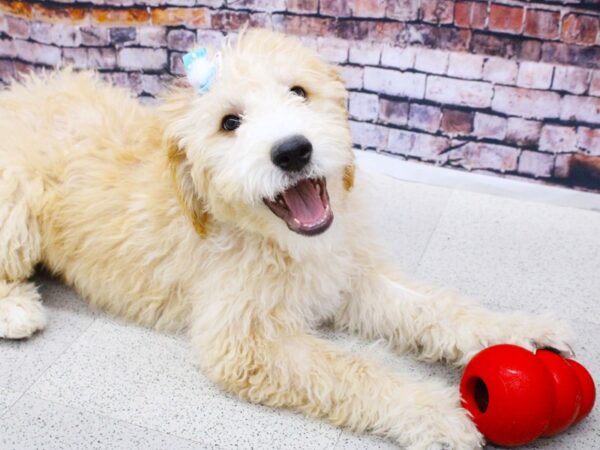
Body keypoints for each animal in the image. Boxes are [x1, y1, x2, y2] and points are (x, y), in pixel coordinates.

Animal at [0, 29, 572, 448]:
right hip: (16, 200)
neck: (279, 240)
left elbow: (431, 307)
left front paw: (519, 331)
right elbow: (352, 369)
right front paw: (434, 413)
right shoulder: (244, 341)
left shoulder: (349, 274)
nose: (293, 151)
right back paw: (18, 310)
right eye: (229, 122)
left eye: (299, 92)